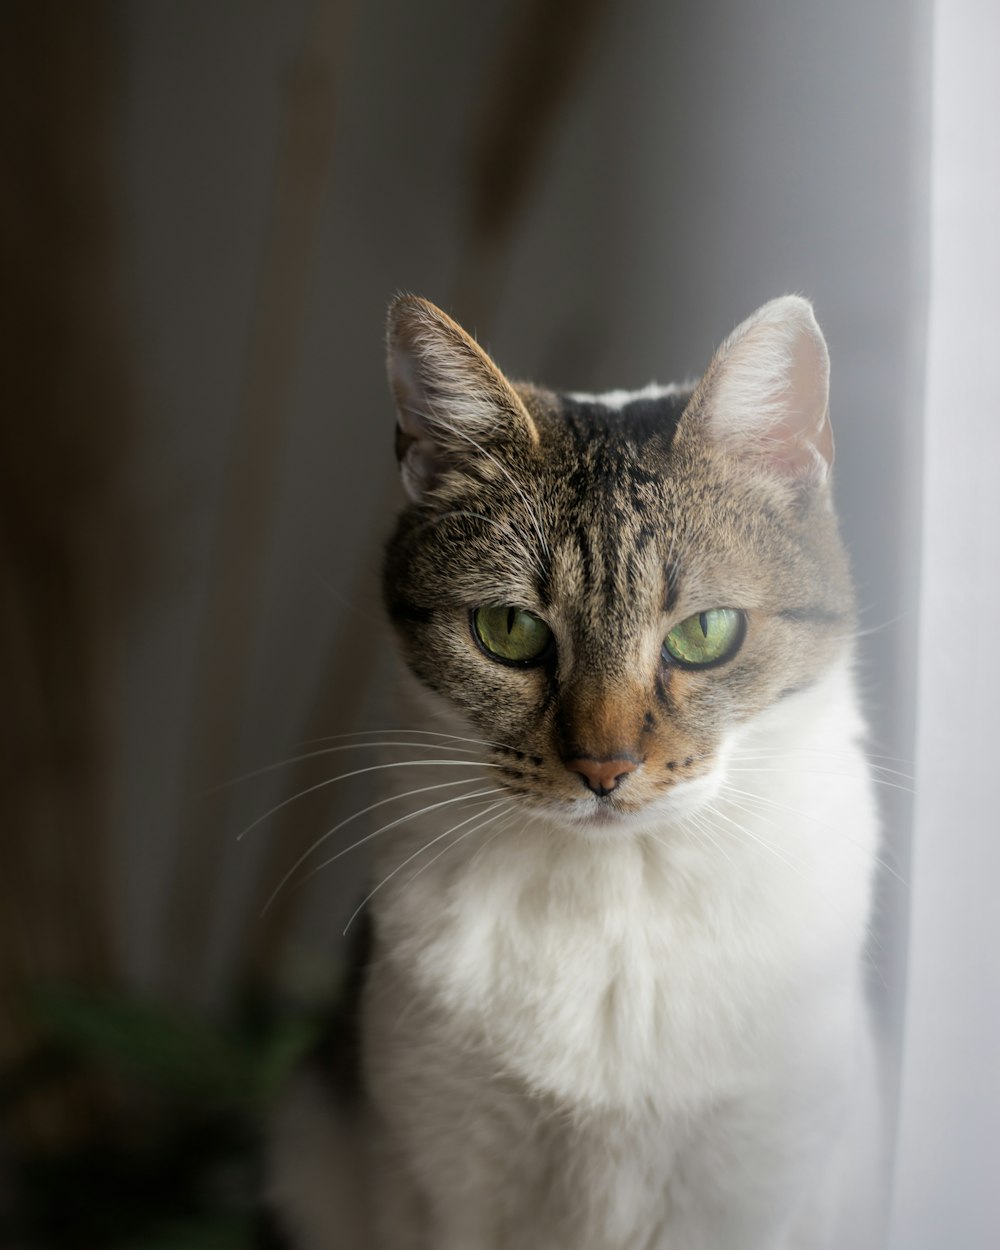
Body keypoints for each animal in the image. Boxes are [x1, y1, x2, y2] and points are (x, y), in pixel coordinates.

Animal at [270, 295, 885, 1250]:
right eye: (509, 631)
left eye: (705, 632)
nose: (605, 766)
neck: (618, 899)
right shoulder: (437, 1173)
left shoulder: (755, 1181)